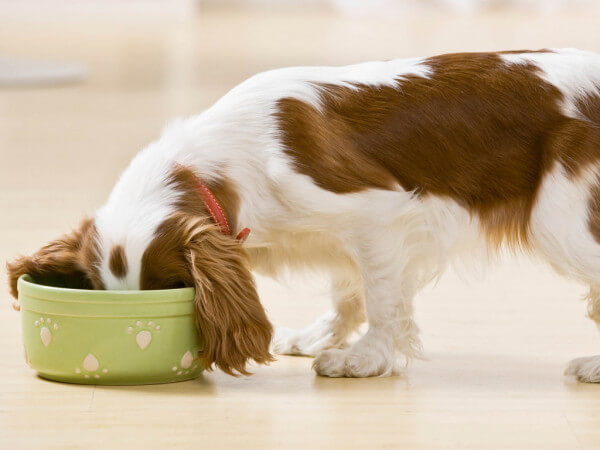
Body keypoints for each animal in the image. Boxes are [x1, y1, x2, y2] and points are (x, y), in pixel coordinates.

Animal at [7, 48, 600, 380]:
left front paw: (364, 360)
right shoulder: (346, 239)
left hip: (560, 220)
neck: (221, 166)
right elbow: (349, 291)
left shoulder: (377, 214)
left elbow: (382, 300)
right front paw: (322, 337)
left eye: (170, 291)